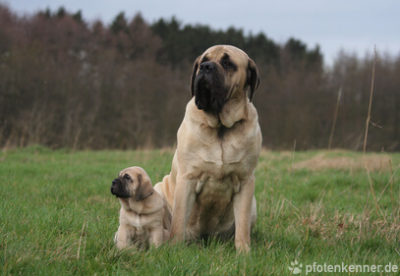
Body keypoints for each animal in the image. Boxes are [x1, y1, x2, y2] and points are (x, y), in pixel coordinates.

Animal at [154, 44, 262, 252]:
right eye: (203, 61)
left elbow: (242, 225)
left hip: (253, 204)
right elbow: (179, 220)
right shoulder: (187, 178)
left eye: (228, 63)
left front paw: (244, 251)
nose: (205, 67)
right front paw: (174, 248)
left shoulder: (246, 181)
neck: (221, 127)